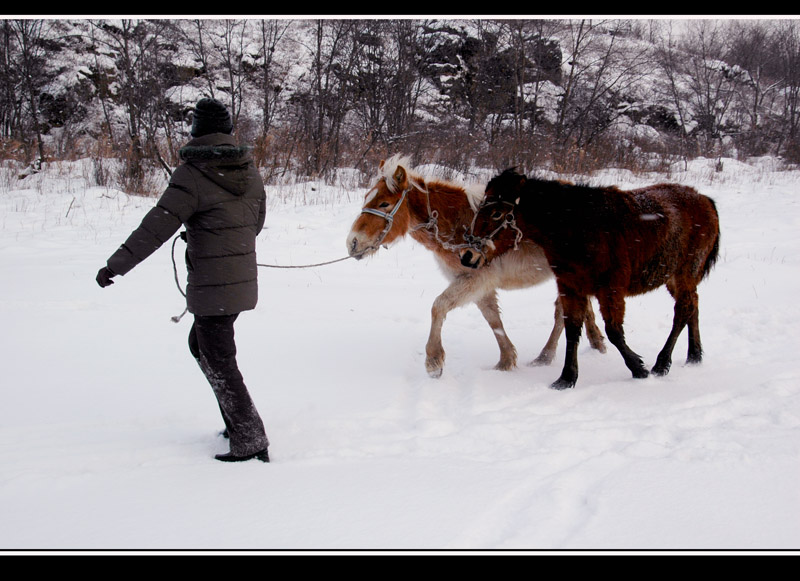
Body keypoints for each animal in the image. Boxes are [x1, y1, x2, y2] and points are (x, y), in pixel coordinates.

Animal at [346, 156, 608, 378]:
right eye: (367, 198)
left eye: (384, 203)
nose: (352, 243)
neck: (458, 224)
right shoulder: (475, 283)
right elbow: (493, 319)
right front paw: (505, 361)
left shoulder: (475, 280)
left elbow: (438, 307)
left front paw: (433, 361)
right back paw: (595, 342)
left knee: (564, 311)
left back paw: (546, 356)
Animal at [460, 170, 720, 392]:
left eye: (496, 213)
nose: (467, 255)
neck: (578, 227)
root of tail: (705, 200)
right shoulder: (570, 287)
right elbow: (572, 331)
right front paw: (566, 378)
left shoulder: (610, 290)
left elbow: (614, 332)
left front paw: (638, 368)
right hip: (675, 277)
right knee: (693, 306)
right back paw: (694, 355)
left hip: (686, 272)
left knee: (682, 311)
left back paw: (662, 363)